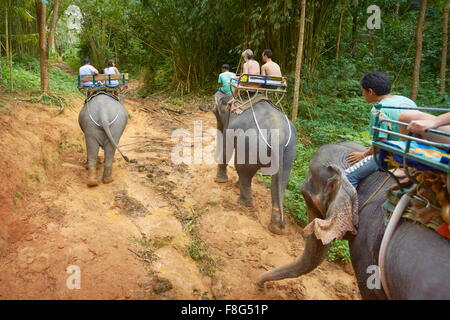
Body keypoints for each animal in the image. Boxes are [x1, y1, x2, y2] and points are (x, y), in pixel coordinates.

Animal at [214, 92, 298, 235]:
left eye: (214, 110)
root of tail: (279, 136)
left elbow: (227, 148)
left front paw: (219, 181)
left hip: (251, 143)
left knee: (243, 170)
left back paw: (243, 203)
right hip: (289, 151)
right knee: (280, 181)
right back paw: (276, 227)